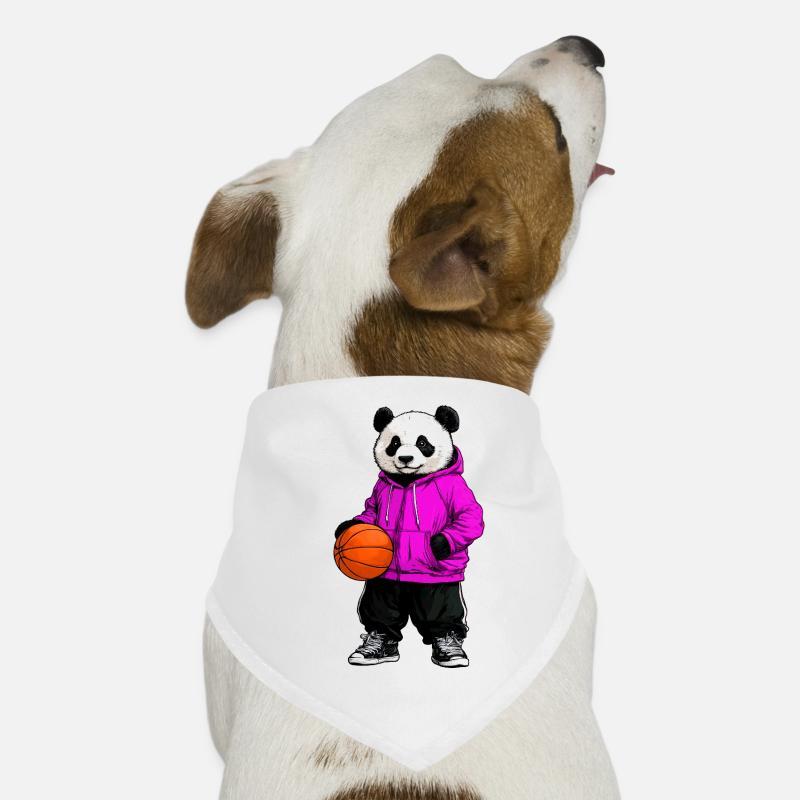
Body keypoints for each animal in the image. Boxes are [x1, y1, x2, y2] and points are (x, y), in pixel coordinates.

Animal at [335, 405, 484, 668]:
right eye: (394, 443)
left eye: (422, 442)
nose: (405, 459)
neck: (407, 481)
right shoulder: (380, 490)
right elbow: (371, 509)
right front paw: (346, 527)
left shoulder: (455, 488)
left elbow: (470, 515)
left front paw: (438, 544)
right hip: (384, 585)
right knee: (382, 607)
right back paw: (377, 645)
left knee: (440, 611)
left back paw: (450, 649)